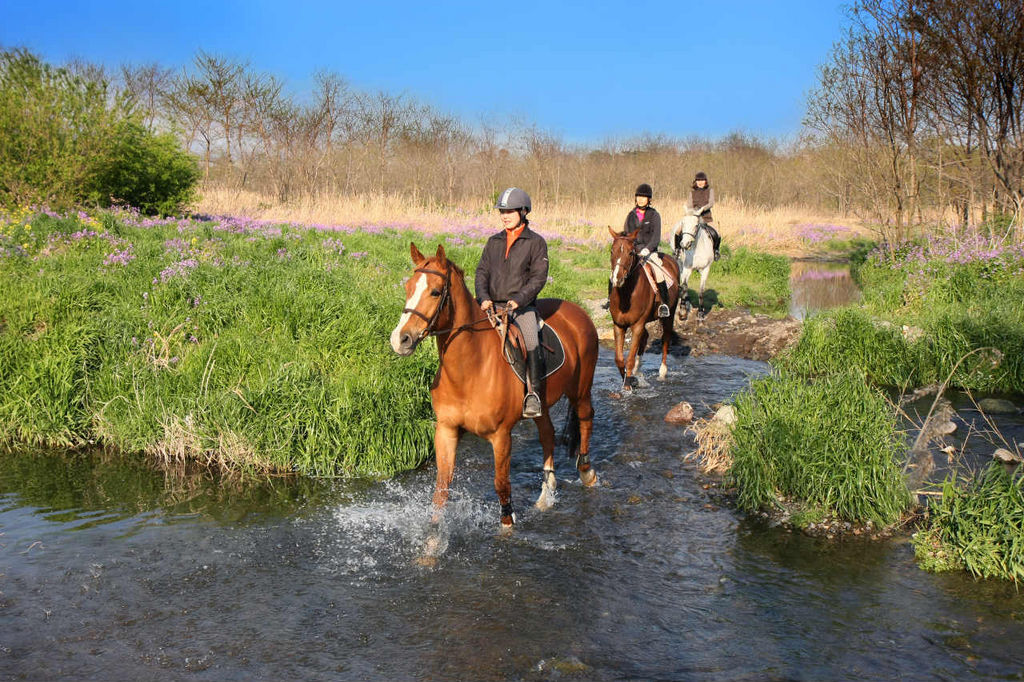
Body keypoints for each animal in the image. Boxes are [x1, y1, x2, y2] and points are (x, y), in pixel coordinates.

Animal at [391, 242, 598, 524]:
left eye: (435, 291)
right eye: (408, 288)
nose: (400, 339)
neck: (470, 370)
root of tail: (578, 311)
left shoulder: (501, 437)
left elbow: (501, 485)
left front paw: (507, 524)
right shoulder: (446, 430)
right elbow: (441, 489)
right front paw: (434, 532)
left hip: (581, 389)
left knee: (586, 418)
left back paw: (587, 472)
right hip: (541, 402)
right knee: (547, 434)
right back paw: (546, 493)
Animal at [606, 227, 679, 387]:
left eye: (630, 253)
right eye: (612, 251)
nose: (617, 279)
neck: (627, 295)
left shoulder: (637, 325)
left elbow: (629, 360)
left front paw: (628, 386)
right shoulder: (619, 326)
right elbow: (619, 359)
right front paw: (629, 379)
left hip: (669, 316)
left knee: (665, 339)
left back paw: (662, 372)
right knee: (645, 337)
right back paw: (637, 370)